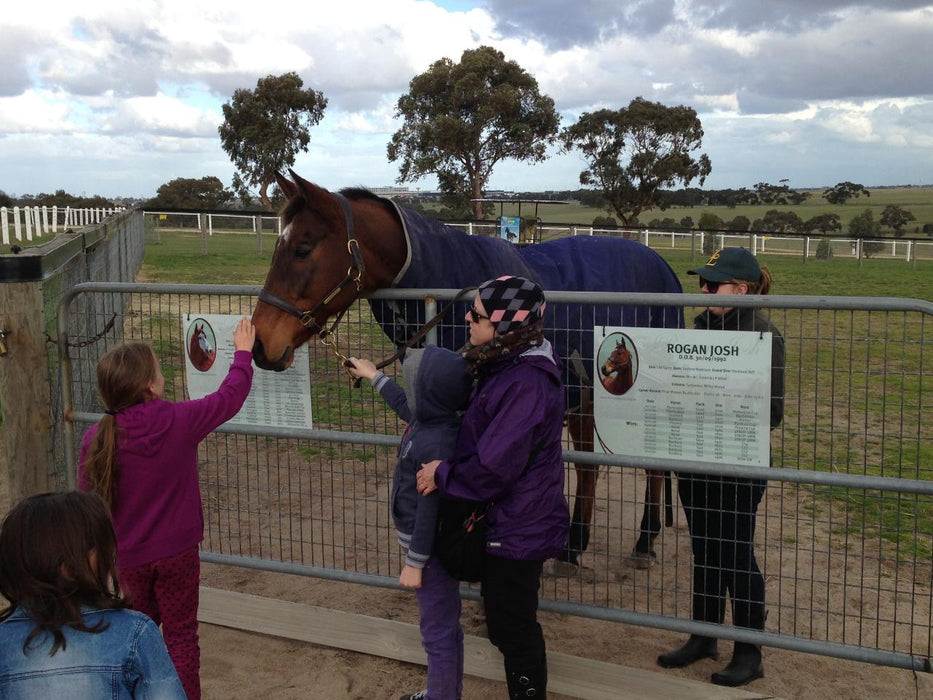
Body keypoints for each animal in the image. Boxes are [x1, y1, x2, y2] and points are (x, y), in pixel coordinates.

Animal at [251, 170, 684, 569]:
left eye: (302, 249)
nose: (260, 346)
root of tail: (663, 267)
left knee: (652, 464)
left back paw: (643, 541)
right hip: (584, 396)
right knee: (588, 465)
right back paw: (574, 548)